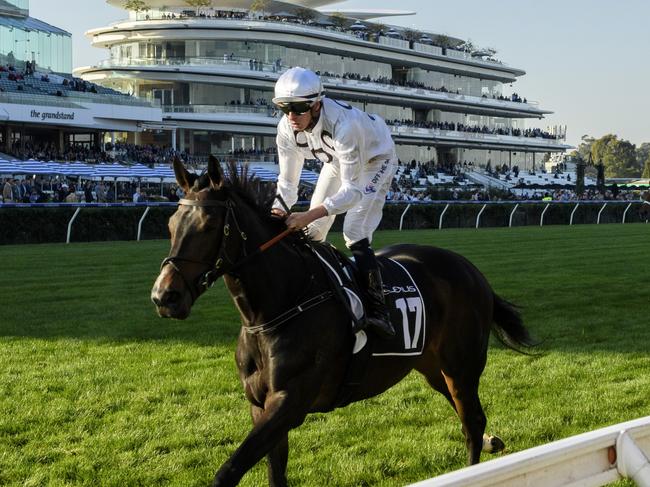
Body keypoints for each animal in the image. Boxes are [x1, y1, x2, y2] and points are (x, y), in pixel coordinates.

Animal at [151, 158, 532, 486]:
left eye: (208, 226)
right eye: (170, 225)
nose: (164, 296)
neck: (278, 306)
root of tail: (471, 270)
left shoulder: (290, 402)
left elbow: (229, 470)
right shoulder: (260, 405)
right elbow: (275, 472)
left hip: (461, 365)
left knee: (472, 422)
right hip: (432, 367)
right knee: (466, 416)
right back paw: (491, 441)